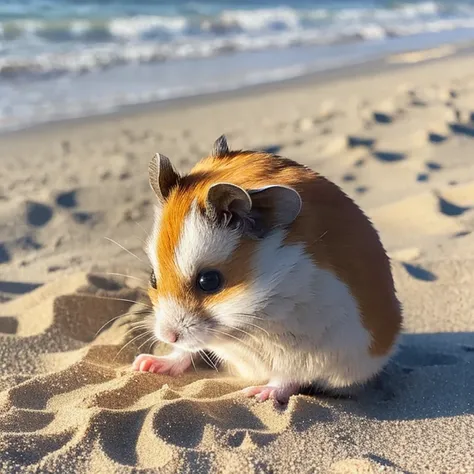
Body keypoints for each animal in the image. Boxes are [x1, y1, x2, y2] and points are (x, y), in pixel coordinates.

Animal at [131, 134, 402, 404]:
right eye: (153, 278)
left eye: (208, 281)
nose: (167, 336)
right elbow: (187, 349)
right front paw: (143, 364)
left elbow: (289, 377)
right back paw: (149, 363)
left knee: (290, 378)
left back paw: (258, 393)